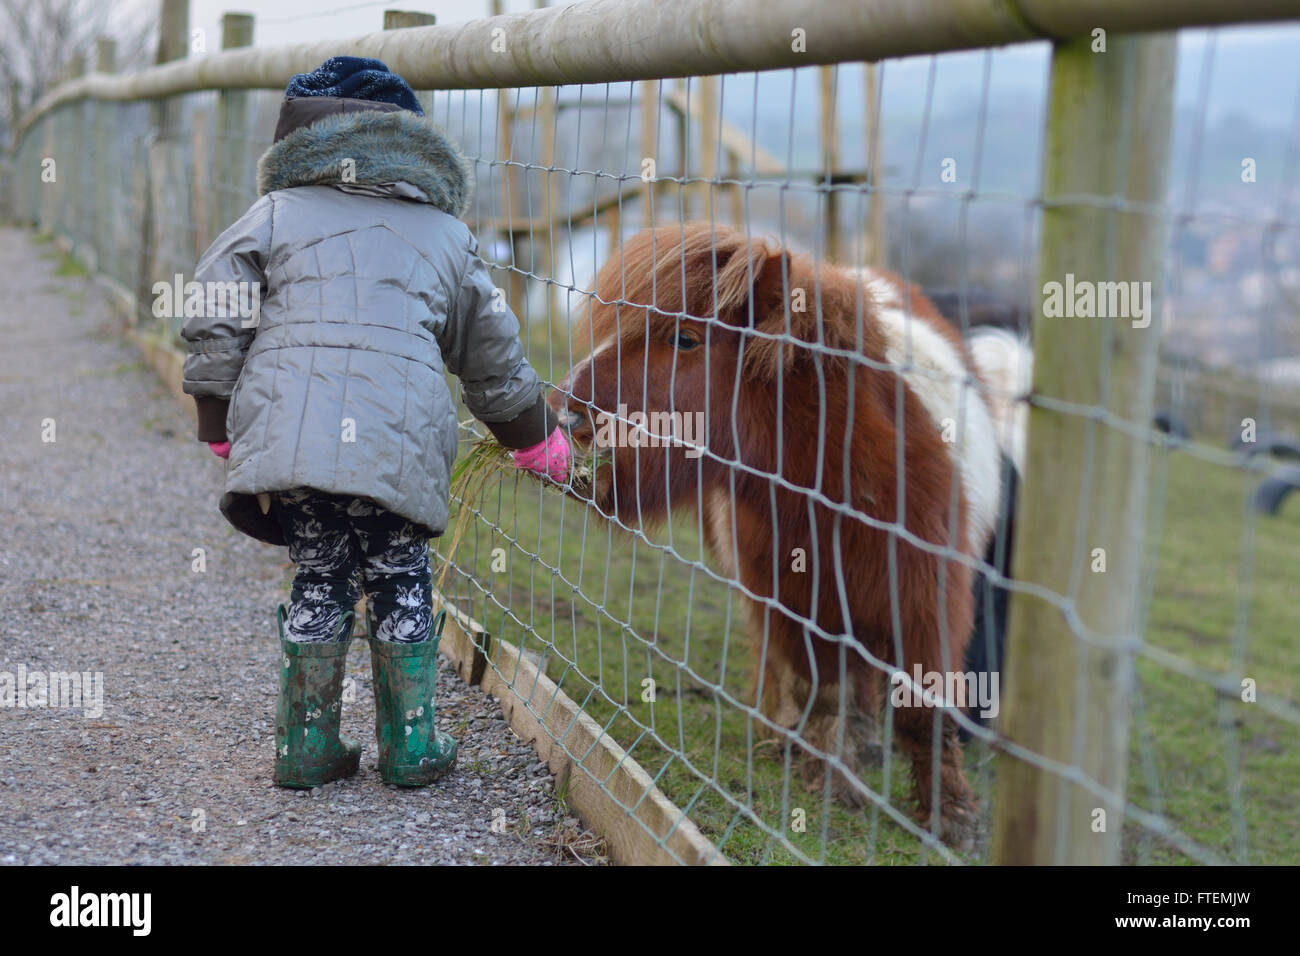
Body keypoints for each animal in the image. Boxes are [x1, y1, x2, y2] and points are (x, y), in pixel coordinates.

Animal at [548, 222, 1024, 842]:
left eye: (686, 340)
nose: (564, 409)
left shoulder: (926, 602)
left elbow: (924, 713)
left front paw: (952, 818)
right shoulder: (795, 596)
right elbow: (823, 691)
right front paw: (832, 780)